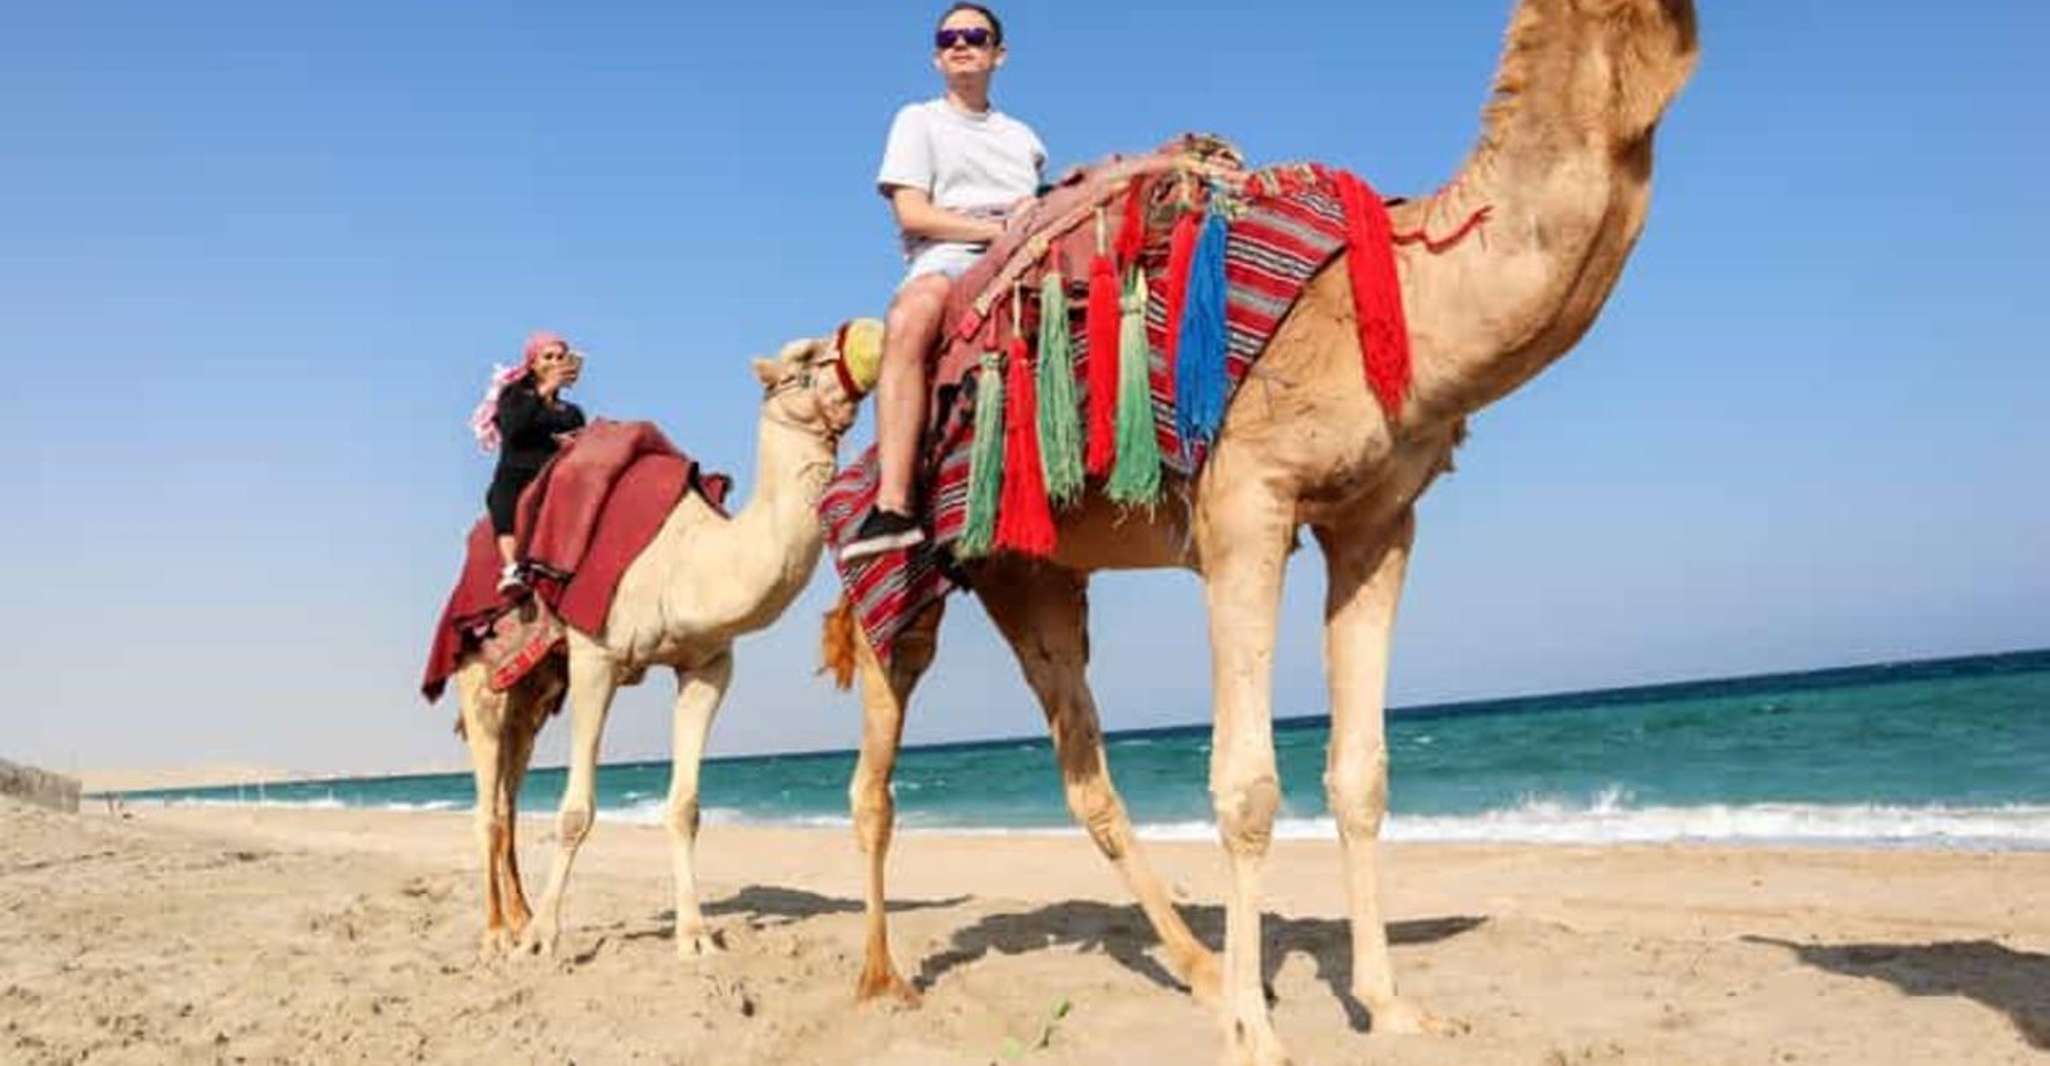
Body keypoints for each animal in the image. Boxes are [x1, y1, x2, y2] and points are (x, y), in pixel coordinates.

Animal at [451, 332, 865, 957]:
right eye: (804, 358)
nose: (869, 342)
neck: (687, 559)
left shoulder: (708, 663)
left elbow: (686, 808)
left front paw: (694, 936)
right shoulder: (595, 657)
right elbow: (575, 811)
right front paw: (546, 939)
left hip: (532, 692)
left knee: (509, 798)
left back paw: (519, 917)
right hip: (479, 677)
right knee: (487, 807)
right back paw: (502, 933)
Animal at [824, 2, 1700, 1062]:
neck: (1402, 290)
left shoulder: (1378, 520)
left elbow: (1361, 776)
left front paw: (1389, 1007)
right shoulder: (1245, 504)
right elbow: (1246, 786)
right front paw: (1255, 1029)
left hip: (1030, 575)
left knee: (1085, 774)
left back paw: (1197, 969)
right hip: (911, 580)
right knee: (877, 773)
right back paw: (883, 980)